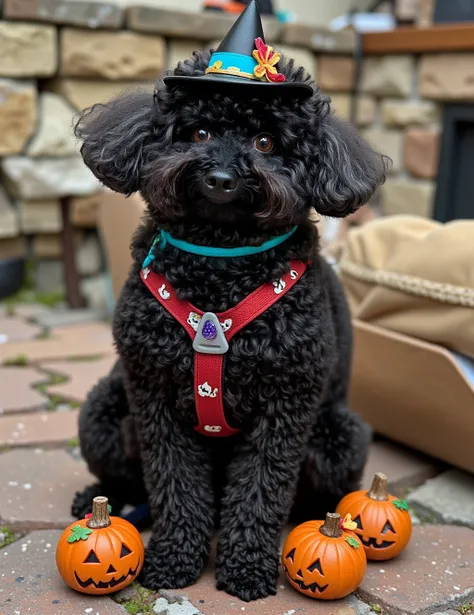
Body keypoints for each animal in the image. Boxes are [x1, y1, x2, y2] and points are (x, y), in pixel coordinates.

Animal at [72, 51, 386, 600]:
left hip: (340, 437)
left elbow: (261, 488)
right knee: (125, 481)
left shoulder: (285, 404)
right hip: (102, 414)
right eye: (197, 133)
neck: (219, 263)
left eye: (265, 142)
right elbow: (174, 484)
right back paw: (99, 500)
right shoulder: (154, 394)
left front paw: (246, 570)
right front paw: (174, 560)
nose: (220, 177)